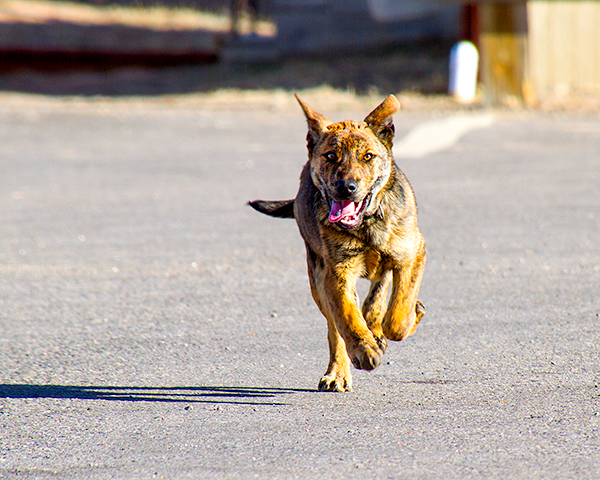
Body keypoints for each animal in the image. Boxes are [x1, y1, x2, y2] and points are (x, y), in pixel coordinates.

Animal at [250, 94, 426, 390]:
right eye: (331, 156)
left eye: (367, 157)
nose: (347, 188)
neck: (366, 223)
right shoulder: (337, 273)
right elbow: (347, 316)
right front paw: (364, 350)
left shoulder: (412, 253)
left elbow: (398, 312)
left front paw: (408, 318)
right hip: (317, 279)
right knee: (336, 328)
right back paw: (338, 372)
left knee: (376, 296)